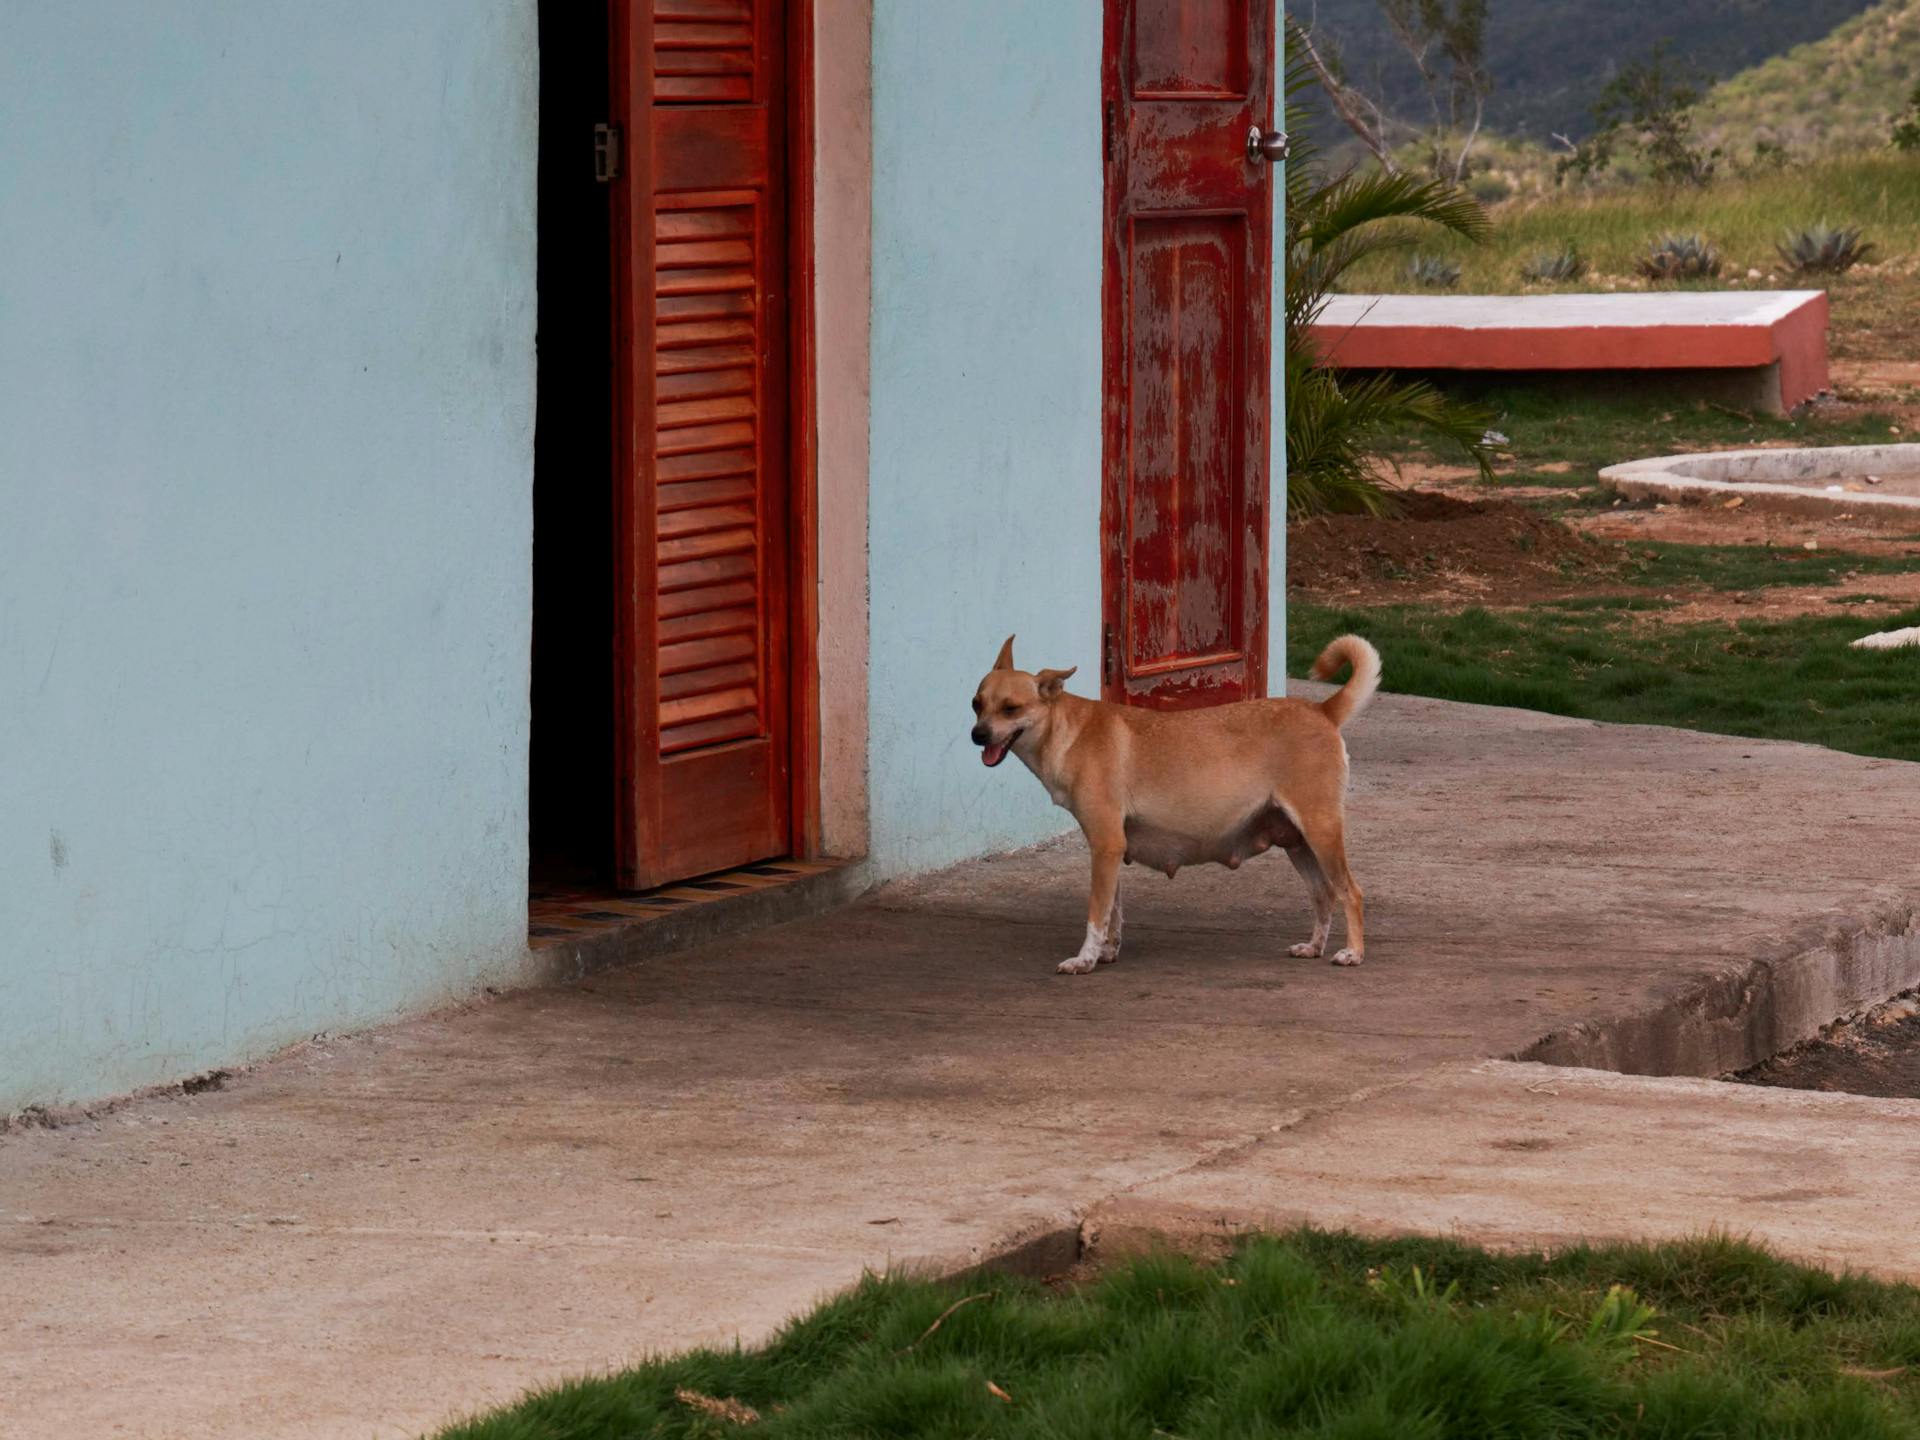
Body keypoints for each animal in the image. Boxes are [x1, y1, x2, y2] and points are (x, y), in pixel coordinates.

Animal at [975, 637, 1382, 975]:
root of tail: (1322, 709)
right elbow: (1113, 912)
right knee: (1324, 895)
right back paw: (1313, 947)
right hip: (1298, 843)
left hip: (1320, 831)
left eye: (1011, 709)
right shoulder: (1112, 851)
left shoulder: (1106, 846)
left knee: (1351, 892)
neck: (1067, 729)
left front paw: (1084, 959)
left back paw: (1353, 953)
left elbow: (1096, 914)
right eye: (976, 704)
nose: (977, 734)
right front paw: (1107, 952)